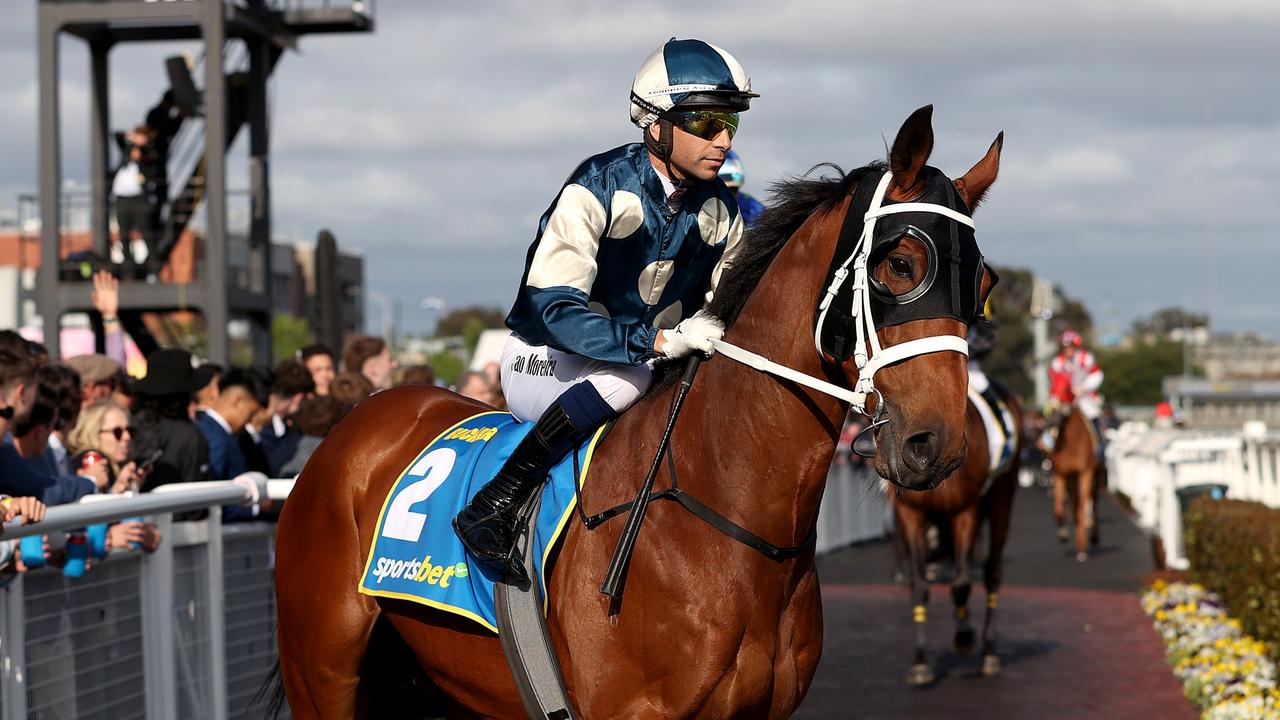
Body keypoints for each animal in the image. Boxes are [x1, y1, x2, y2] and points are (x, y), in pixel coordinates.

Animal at [275, 106, 1003, 717]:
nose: (935, 444)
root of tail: (356, 424)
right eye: (900, 263)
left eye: (982, 283)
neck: (723, 520)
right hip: (321, 676)